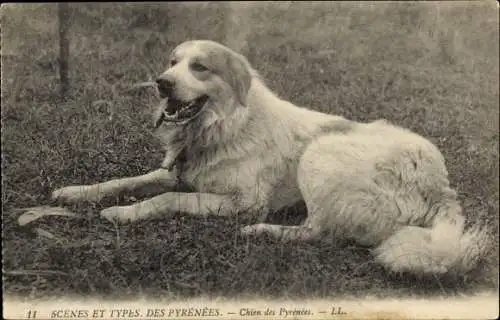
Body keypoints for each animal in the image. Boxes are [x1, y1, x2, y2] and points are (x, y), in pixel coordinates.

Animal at [52, 39, 490, 276]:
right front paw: (75, 193)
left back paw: (263, 233)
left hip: (319, 154)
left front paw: (123, 213)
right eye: (172, 62)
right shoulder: (175, 172)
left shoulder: (243, 202)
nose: (162, 83)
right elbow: (125, 181)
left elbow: (165, 199)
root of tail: (442, 186)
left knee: (319, 232)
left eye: (200, 67)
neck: (225, 124)